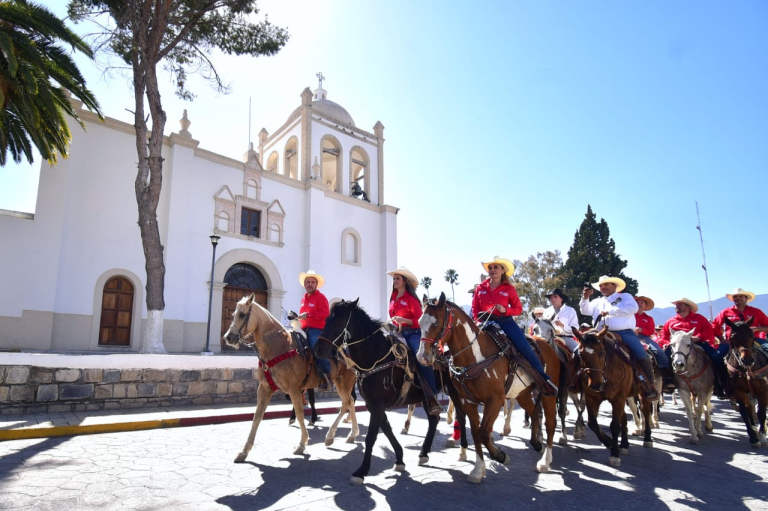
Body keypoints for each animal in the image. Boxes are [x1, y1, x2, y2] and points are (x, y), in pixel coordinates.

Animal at [222, 294, 360, 462]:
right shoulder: (264, 388)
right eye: (233, 314)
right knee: (350, 402)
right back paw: (352, 434)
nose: (228, 337)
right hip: (340, 381)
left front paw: (301, 444)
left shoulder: (294, 389)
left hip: (345, 382)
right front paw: (244, 451)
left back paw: (330, 436)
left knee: (346, 403)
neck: (280, 347)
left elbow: (300, 414)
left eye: (242, 314)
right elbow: (257, 417)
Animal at [314, 298, 468, 486]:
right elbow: (386, 429)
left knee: (461, 416)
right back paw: (424, 453)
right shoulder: (372, 405)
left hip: (455, 392)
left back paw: (463, 451)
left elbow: (371, 436)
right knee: (433, 420)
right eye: (327, 319)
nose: (318, 349)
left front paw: (361, 471)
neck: (376, 357)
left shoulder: (378, 405)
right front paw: (400, 459)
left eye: (339, 321)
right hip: (427, 397)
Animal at [416, 294, 560, 482]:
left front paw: (500, 456)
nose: (422, 357)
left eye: (436, 323)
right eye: (419, 322)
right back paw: (536, 444)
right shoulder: (467, 402)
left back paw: (545, 461)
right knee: (535, 412)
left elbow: (484, 432)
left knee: (550, 423)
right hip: (522, 394)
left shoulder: (495, 400)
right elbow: (476, 433)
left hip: (548, 394)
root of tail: (547, 344)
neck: (475, 356)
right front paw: (478, 470)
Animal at [568, 328, 656, 468]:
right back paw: (624, 444)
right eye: (580, 355)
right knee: (624, 418)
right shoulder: (592, 397)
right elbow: (592, 423)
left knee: (645, 411)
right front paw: (608, 442)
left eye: (602, 352)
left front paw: (614, 454)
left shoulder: (618, 399)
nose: (596, 384)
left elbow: (614, 426)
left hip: (642, 394)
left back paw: (647, 438)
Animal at [724, 318, 764, 450]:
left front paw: (762, 435)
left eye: (751, 335)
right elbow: (744, 412)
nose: (747, 360)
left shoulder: (764, 388)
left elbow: (761, 411)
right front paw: (753, 437)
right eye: (733, 337)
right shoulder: (738, 390)